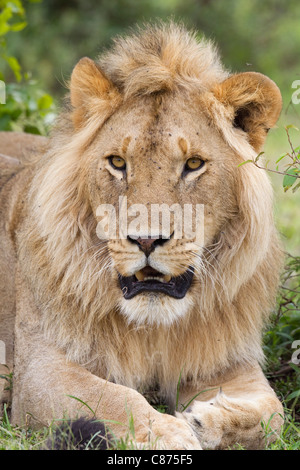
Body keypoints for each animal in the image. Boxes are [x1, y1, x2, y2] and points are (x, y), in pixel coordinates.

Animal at [0, 23, 284, 450]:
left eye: (193, 164)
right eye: (118, 162)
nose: (147, 240)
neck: (154, 329)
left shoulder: (227, 363)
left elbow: (273, 413)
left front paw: (206, 420)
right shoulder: (39, 369)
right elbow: (113, 397)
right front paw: (171, 434)